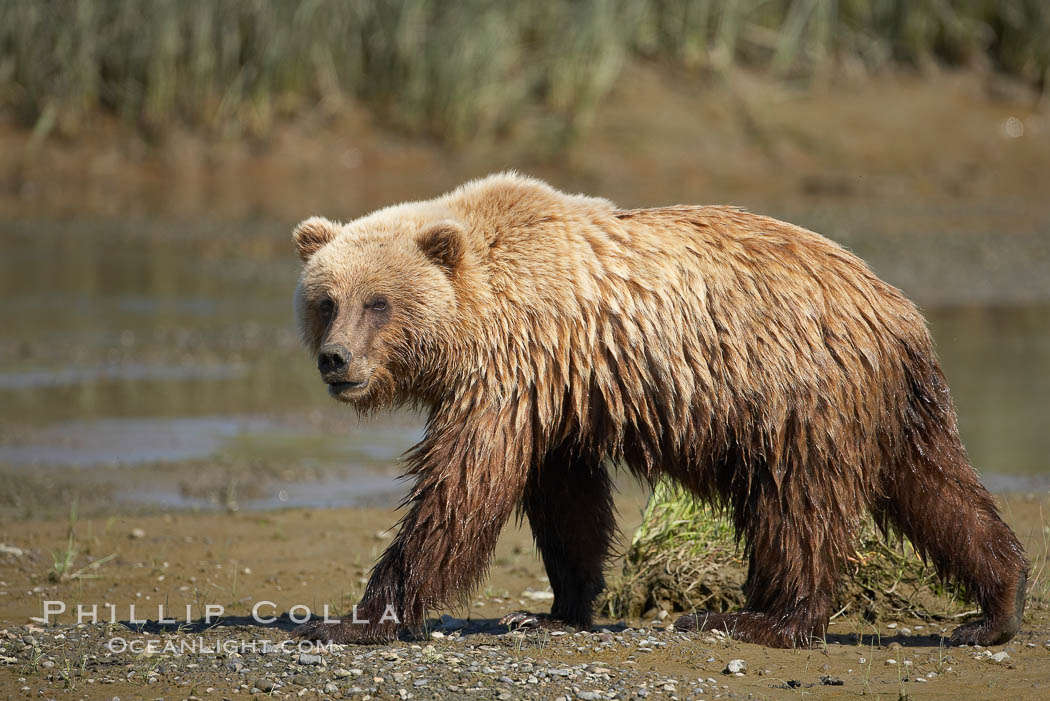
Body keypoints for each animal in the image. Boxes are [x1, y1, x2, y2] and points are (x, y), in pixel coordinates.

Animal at [291, 172, 1029, 650]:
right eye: (326, 300)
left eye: (378, 302)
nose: (336, 359)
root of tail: (897, 308)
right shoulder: (560, 394)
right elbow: (566, 504)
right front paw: (555, 610)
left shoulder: (513, 374)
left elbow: (460, 491)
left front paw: (353, 619)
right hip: (893, 404)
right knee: (936, 488)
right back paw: (995, 606)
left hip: (795, 395)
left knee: (798, 507)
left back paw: (756, 620)